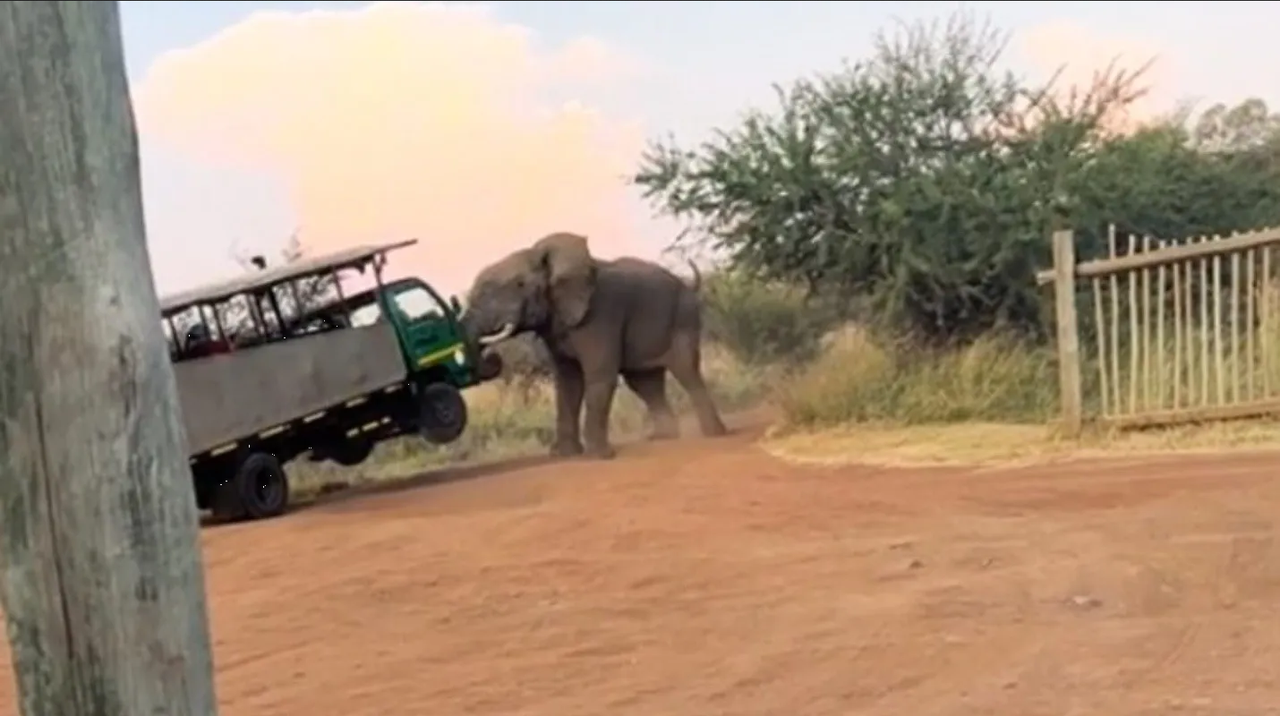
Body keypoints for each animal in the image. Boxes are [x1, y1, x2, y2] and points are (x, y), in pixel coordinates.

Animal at [462, 231, 728, 459]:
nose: (493, 355)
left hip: (684, 316)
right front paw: (565, 455)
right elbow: (568, 382)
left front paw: (598, 456)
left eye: (519, 285)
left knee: (686, 371)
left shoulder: (600, 314)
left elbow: (599, 374)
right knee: (644, 383)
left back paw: (714, 433)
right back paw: (663, 437)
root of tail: (689, 284)